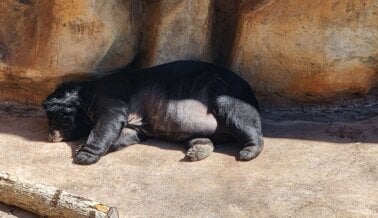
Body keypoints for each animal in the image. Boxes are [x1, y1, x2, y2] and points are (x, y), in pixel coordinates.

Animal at [42, 60, 262, 164]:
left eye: (55, 119)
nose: (48, 135)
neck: (86, 96)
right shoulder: (135, 125)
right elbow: (127, 133)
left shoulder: (110, 95)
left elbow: (108, 120)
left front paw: (84, 155)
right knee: (199, 137)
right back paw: (197, 150)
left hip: (225, 92)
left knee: (240, 115)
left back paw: (248, 151)